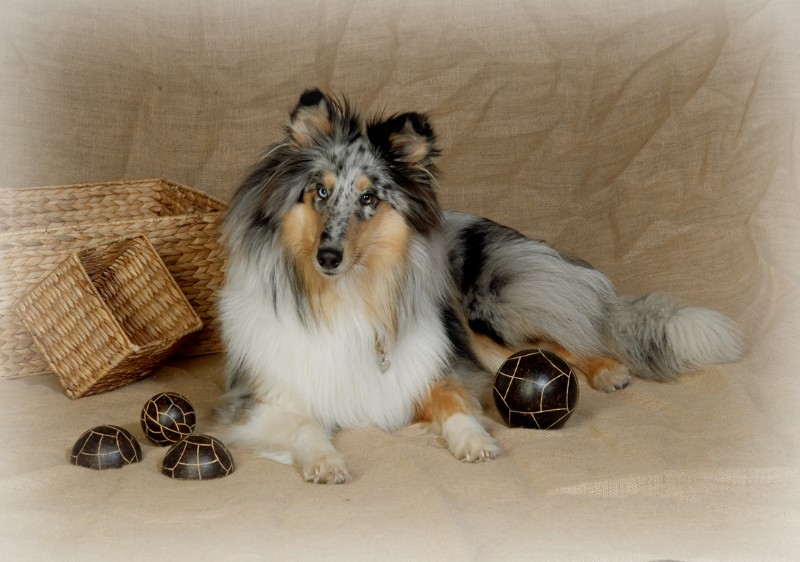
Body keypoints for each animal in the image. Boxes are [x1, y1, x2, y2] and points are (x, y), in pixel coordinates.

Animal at [216, 89, 744, 484]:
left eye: (369, 198)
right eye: (321, 191)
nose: (328, 257)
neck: (347, 296)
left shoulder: (433, 368)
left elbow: (454, 403)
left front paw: (473, 439)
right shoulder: (257, 401)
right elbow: (306, 426)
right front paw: (326, 461)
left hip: (484, 319)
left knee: (560, 341)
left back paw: (608, 370)